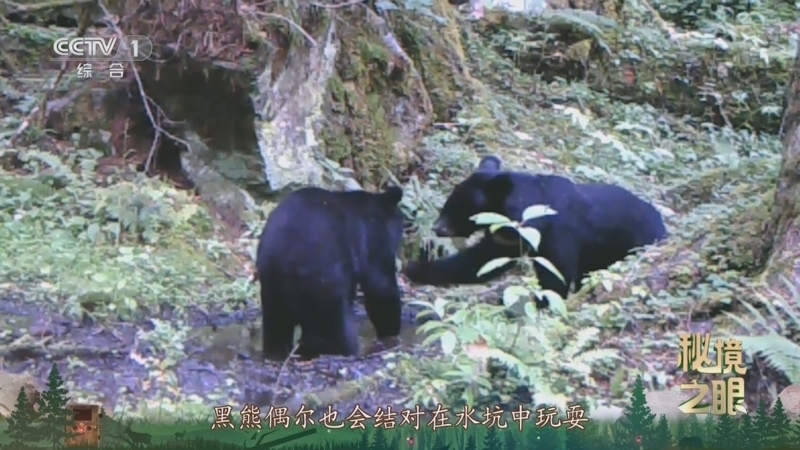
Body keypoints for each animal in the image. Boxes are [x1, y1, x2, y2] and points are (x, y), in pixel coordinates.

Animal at [256, 185, 405, 361]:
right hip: (325, 284)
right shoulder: (373, 239)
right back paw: (344, 348)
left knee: (276, 323)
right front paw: (390, 333)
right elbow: (381, 285)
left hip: (271, 286)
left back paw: (277, 351)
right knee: (334, 326)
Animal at [404, 155, 667, 307]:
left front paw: (541, 302)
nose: (437, 228)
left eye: (459, 206)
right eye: (449, 202)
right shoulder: (508, 238)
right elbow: (482, 261)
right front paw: (416, 267)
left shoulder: (558, 233)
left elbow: (557, 273)